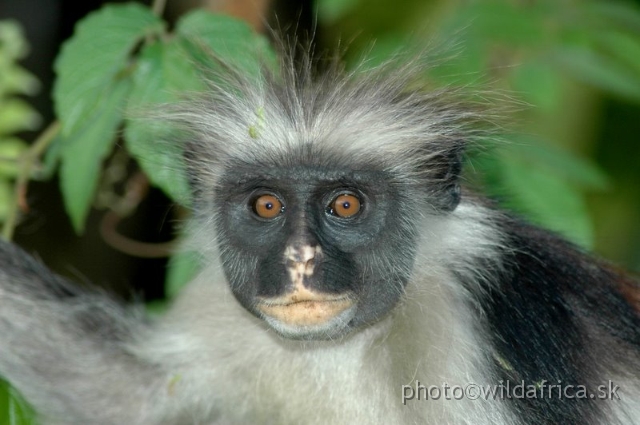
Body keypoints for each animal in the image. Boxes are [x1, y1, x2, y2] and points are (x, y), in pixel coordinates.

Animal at [1, 41, 640, 422]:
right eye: (266, 206)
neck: (347, 346)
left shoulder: (487, 325)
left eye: (346, 205)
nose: (299, 259)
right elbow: (125, 394)